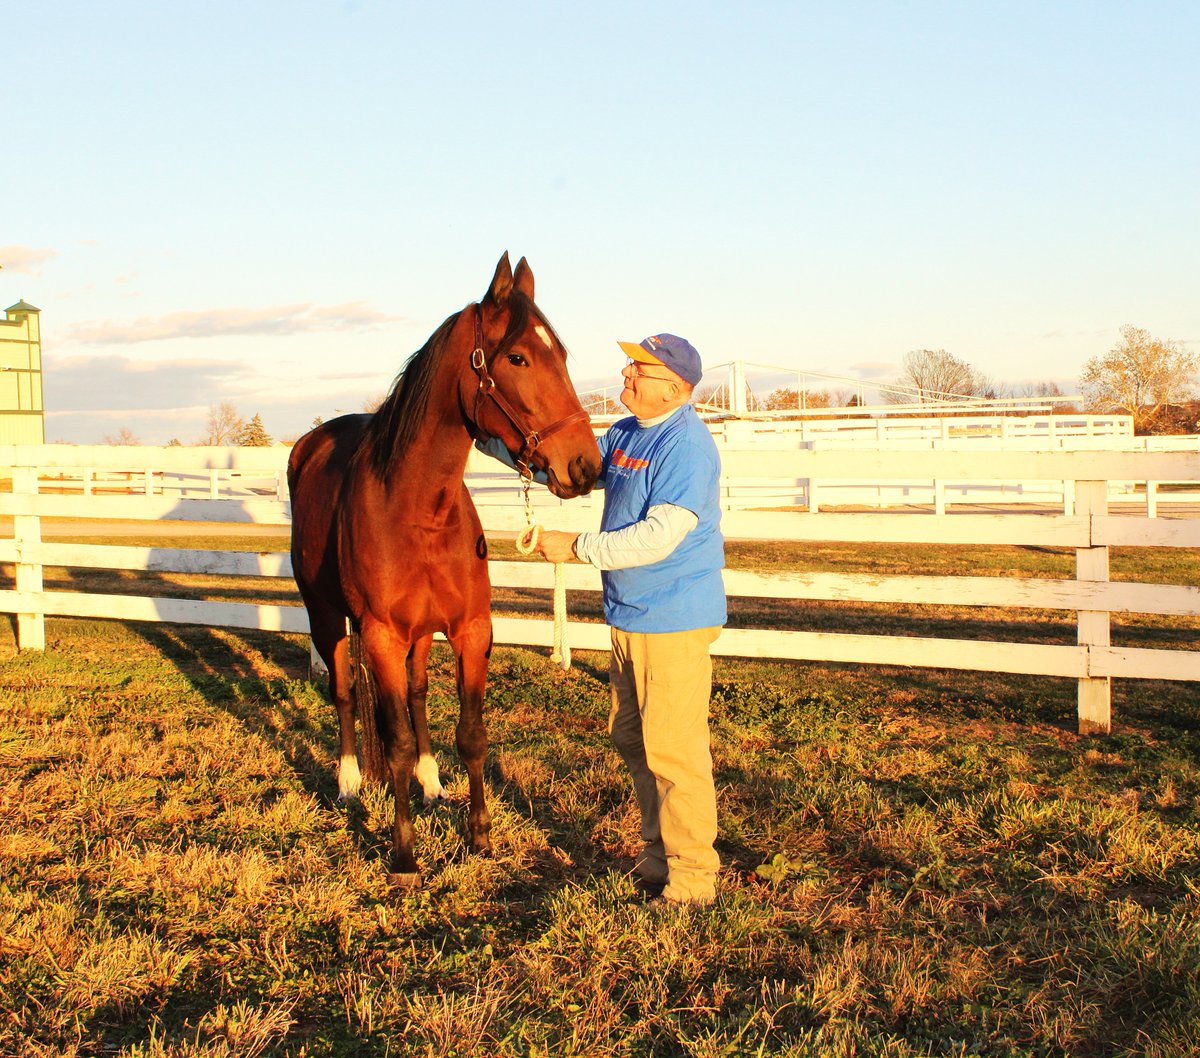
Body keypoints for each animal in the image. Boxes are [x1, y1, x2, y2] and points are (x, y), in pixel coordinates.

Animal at [288, 253, 601, 884]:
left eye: (561, 355)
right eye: (518, 357)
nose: (586, 465)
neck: (419, 509)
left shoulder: (469, 630)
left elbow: (471, 734)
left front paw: (479, 836)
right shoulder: (381, 635)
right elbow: (396, 743)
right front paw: (405, 856)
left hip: (418, 637)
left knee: (416, 695)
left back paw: (431, 784)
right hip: (325, 614)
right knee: (343, 692)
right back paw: (349, 782)